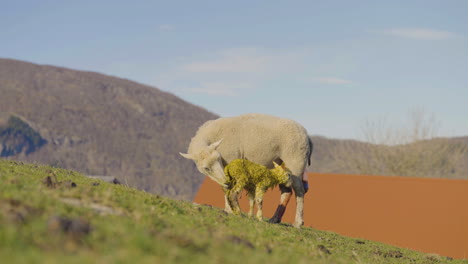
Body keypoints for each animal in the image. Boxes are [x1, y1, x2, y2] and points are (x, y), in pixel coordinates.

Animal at [181, 112, 312, 228]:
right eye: (206, 168)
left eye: (218, 158)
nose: (225, 181)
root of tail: (307, 135)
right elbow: (225, 188)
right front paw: (228, 209)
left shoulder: (231, 161)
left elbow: (229, 187)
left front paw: (232, 209)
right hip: (281, 166)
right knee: (286, 192)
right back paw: (275, 219)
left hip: (295, 161)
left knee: (299, 191)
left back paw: (298, 223)